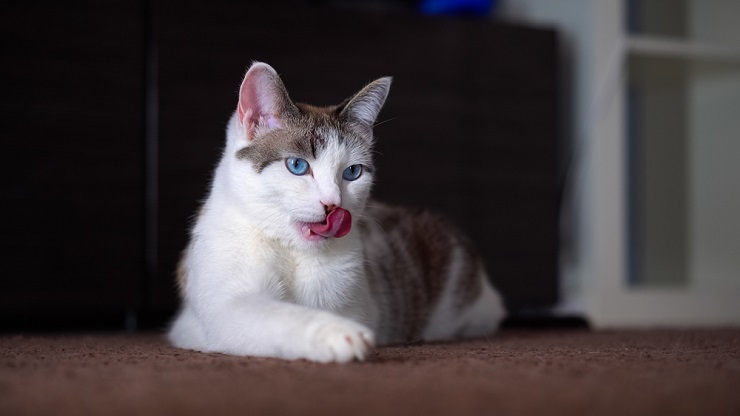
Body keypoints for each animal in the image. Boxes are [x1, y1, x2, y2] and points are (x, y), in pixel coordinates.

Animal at [168, 61, 506, 360]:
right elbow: (274, 315)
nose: (333, 204)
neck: (293, 251)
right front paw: (335, 334)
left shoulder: (356, 299)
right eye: (297, 165)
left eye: (352, 172)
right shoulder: (219, 306)